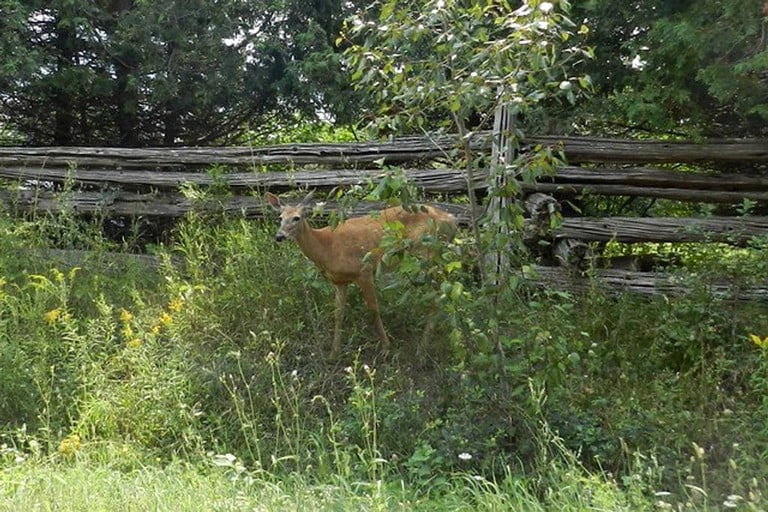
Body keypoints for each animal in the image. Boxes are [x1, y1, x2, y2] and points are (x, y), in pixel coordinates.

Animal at [266, 191, 456, 356]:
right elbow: (338, 314)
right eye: (280, 218)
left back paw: (422, 349)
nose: (279, 236)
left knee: (438, 294)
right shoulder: (339, 281)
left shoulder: (364, 270)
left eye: (297, 218)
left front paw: (386, 347)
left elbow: (373, 309)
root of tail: (452, 219)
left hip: (428, 253)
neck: (326, 247)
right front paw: (334, 353)